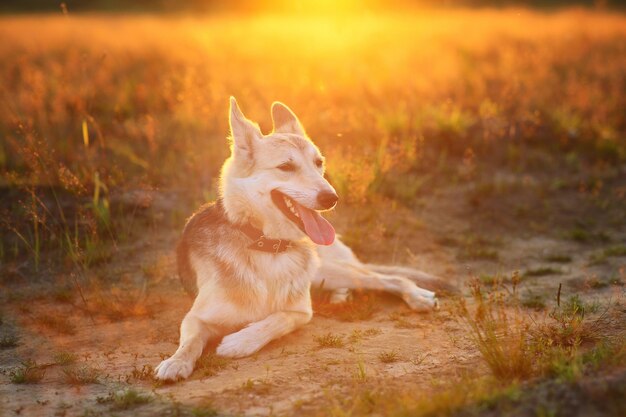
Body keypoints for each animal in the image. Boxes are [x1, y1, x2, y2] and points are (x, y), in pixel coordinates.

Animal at [156, 97, 448, 380]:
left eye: (319, 163)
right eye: (286, 166)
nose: (332, 198)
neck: (268, 247)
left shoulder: (301, 312)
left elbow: (277, 320)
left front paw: (239, 341)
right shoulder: (195, 318)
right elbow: (190, 342)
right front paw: (175, 362)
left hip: (325, 270)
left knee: (387, 278)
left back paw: (415, 296)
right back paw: (341, 296)